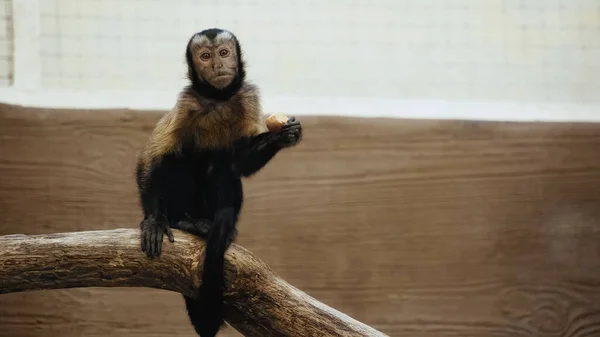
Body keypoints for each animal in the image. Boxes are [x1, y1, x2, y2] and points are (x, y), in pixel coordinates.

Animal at [135, 26, 302, 336]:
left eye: (223, 53)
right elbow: (150, 160)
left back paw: (213, 225)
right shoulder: (186, 103)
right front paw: (153, 221)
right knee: (176, 159)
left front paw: (283, 135)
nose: (217, 65)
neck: (219, 99)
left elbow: (239, 165)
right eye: (205, 56)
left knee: (221, 164)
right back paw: (183, 221)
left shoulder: (247, 97)